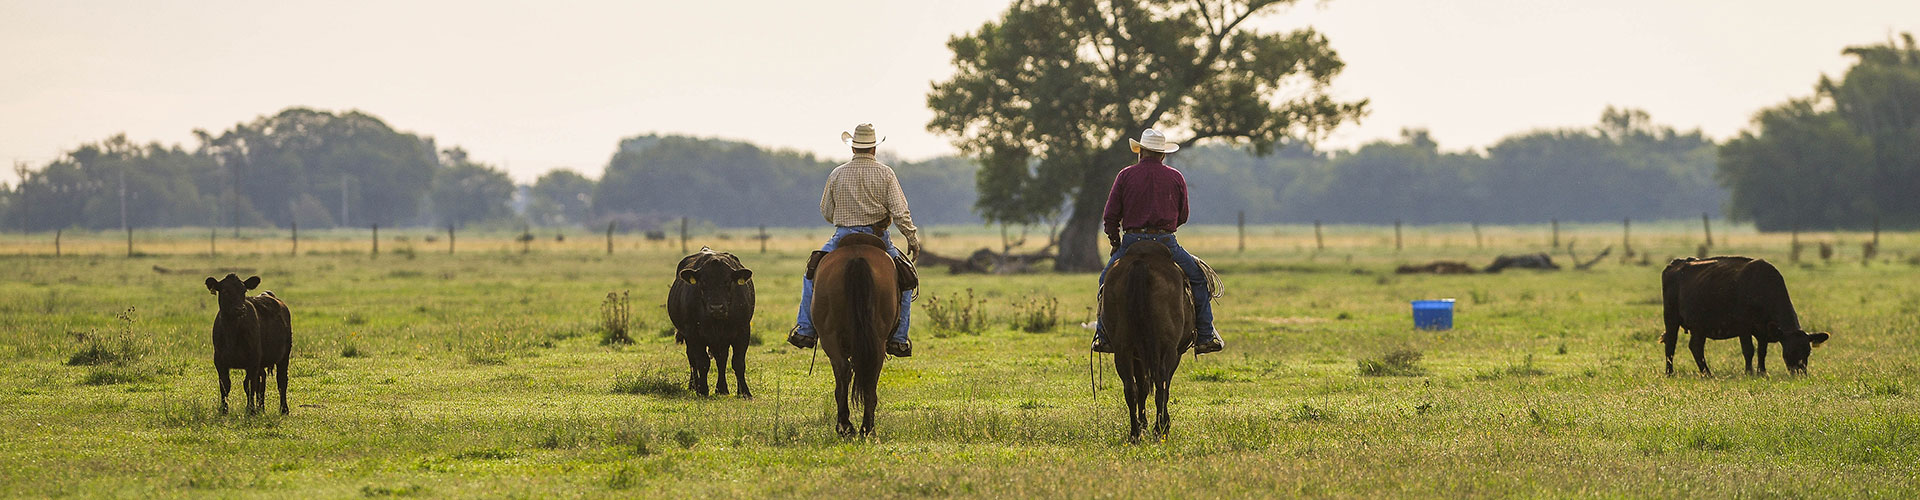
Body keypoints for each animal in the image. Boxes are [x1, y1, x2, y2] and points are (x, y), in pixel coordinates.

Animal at [204, 273, 293, 413]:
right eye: (225, 291)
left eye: (244, 291)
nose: (240, 309)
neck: (232, 332)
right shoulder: (219, 360)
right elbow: (225, 384)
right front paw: (224, 410)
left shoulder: (253, 359)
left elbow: (249, 385)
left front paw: (250, 410)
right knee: (262, 380)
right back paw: (261, 408)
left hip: (284, 355)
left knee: (281, 381)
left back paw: (283, 409)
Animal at [660, 248, 748, 396]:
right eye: (703, 282)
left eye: (728, 281)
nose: (716, 307)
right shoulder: (694, 334)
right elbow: (702, 362)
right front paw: (703, 390)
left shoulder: (743, 332)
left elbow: (738, 363)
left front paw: (744, 392)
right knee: (693, 359)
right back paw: (694, 385)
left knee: (721, 359)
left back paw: (722, 389)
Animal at [810, 232, 898, 434]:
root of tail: (857, 258)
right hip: (874, 340)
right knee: (866, 373)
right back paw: (865, 428)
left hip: (830, 336)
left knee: (844, 370)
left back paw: (848, 426)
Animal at [1105, 241, 1190, 442]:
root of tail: (1141, 263)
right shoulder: (1175, 353)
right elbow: (1163, 385)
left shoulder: (1137, 354)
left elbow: (1142, 386)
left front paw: (1143, 424)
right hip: (1167, 349)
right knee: (1161, 385)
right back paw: (1161, 429)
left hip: (1123, 348)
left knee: (1131, 388)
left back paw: (1135, 433)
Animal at [1666, 257, 1827, 375]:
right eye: (1789, 352)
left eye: (1808, 352)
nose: (1800, 374)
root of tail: (1679, 262)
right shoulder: (1743, 327)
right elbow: (1749, 350)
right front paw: (1749, 373)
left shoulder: (1764, 329)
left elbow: (1762, 351)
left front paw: (1762, 372)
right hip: (1671, 318)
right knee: (1671, 344)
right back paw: (1670, 372)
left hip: (1699, 327)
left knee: (1696, 346)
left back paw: (1707, 373)